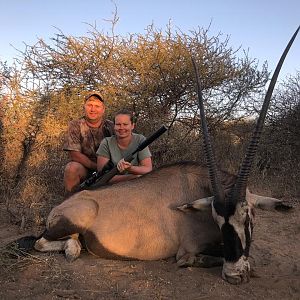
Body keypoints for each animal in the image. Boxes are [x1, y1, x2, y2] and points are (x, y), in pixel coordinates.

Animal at [18, 25, 298, 284]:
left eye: (249, 218)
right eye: (219, 220)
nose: (234, 275)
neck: (198, 187)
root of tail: (62, 204)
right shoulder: (186, 251)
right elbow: (196, 259)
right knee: (41, 242)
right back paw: (73, 250)